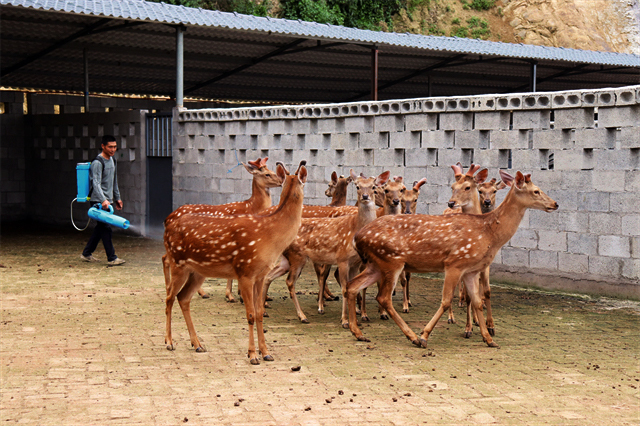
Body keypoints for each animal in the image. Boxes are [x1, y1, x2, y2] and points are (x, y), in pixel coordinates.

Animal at [161, 157, 282, 302]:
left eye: (272, 170)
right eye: (267, 174)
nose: (281, 181)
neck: (252, 207)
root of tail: (167, 218)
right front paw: (232, 295)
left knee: (165, 258)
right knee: (167, 260)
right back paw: (177, 290)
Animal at [262, 168, 390, 324]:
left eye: (373, 187)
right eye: (357, 186)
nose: (365, 196)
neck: (355, 227)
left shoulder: (354, 262)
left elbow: (353, 287)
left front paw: (356, 317)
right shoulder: (342, 258)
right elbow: (345, 289)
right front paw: (345, 320)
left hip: (286, 259)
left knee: (269, 275)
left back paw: (263, 311)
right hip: (298, 257)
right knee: (290, 282)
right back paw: (302, 316)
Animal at [342, 170, 556, 350]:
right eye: (536, 191)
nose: (555, 204)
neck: (489, 233)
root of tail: (358, 236)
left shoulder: (470, 269)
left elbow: (477, 302)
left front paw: (489, 339)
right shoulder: (455, 263)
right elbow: (445, 301)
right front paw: (425, 335)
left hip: (376, 264)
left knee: (352, 286)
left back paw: (358, 332)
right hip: (391, 260)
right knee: (383, 298)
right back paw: (412, 336)